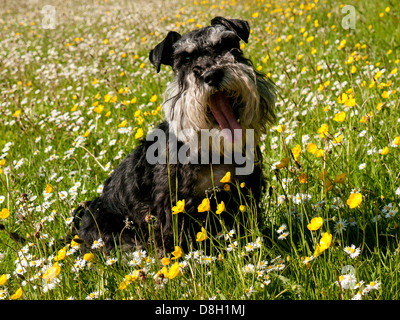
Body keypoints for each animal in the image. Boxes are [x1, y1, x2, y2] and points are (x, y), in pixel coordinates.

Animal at [73, 16, 276, 252]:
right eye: (185, 58)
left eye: (227, 44)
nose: (212, 74)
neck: (214, 148)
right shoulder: (172, 205)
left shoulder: (245, 190)